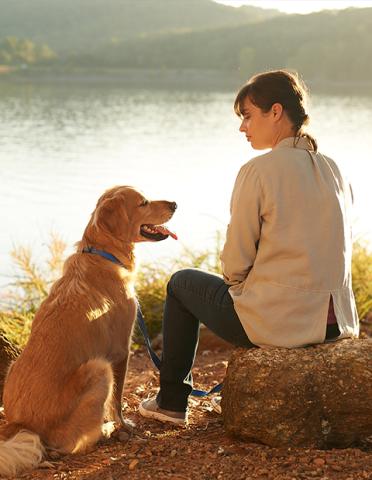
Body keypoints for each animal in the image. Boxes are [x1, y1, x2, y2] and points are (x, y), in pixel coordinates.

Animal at [0, 185, 177, 476]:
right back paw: (104, 429)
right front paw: (123, 424)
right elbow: (116, 401)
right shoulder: (121, 350)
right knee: (69, 444)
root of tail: (22, 425)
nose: (175, 203)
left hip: (15, 365)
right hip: (98, 367)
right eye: (143, 202)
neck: (104, 254)